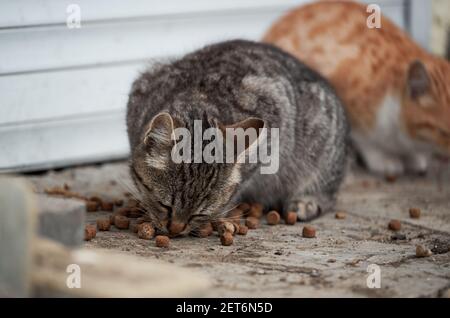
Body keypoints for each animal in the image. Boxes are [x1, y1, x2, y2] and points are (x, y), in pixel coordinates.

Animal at [125, 39, 348, 235]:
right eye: (165, 205)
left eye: (199, 214)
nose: (175, 230)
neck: (200, 100)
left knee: (330, 194)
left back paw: (306, 203)